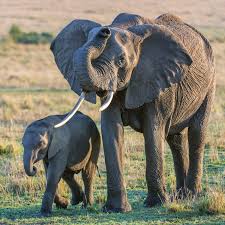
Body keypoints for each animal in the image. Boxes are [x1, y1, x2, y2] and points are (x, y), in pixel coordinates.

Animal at [50, 12, 215, 213]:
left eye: (121, 60)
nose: (104, 31)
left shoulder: (157, 81)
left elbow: (153, 130)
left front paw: (156, 203)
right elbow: (111, 130)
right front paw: (116, 209)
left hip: (209, 82)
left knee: (197, 132)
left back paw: (191, 196)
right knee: (175, 139)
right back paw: (180, 197)